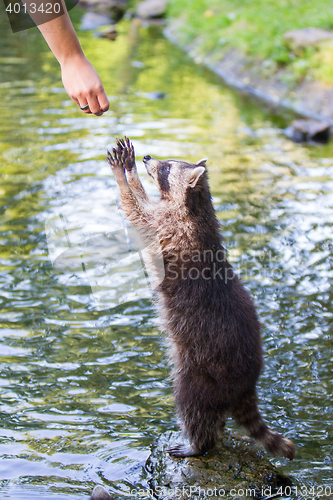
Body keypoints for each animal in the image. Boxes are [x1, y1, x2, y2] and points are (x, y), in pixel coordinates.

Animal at [105, 138, 294, 460]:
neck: (197, 205)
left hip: (203, 373)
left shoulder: (168, 226)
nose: (147, 158)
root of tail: (246, 386)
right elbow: (142, 203)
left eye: (167, 168)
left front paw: (123, 176)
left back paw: (200, 443)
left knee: (192, 405)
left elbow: (137, 211)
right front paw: (132, 172)